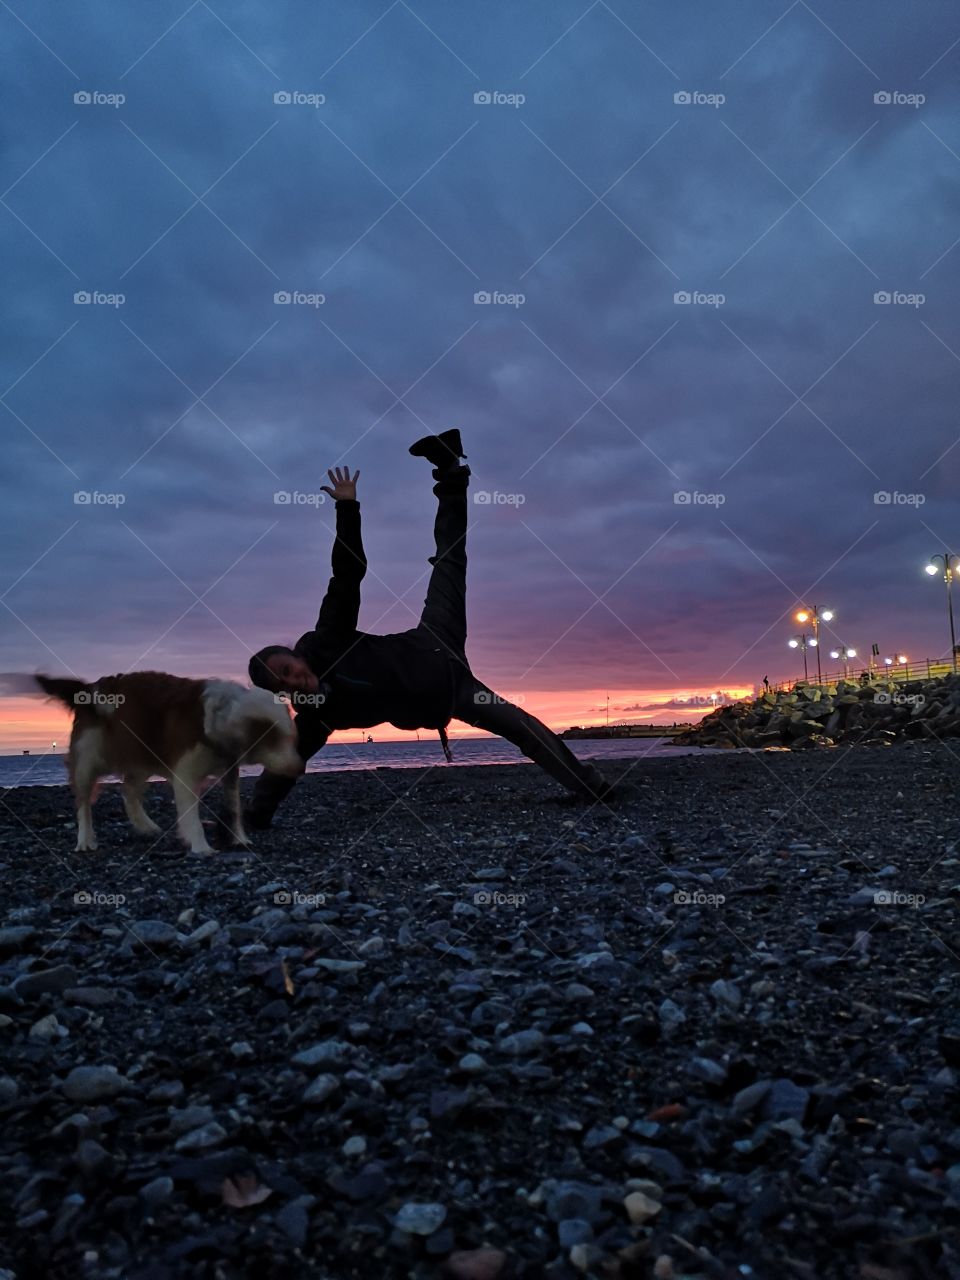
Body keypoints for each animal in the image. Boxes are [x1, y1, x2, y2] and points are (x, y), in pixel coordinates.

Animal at [36, 675, 300, 855]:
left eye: (289, 737)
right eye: (271, 739)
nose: (297, 767)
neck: (217, 716)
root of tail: (89, 689)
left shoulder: (230, 772)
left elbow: (234, 808)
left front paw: (240, 839)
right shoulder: (186, 774)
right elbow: (192, 817)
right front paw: (201, 846)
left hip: (140, 758)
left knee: (129, 792)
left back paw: (146, 826)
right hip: (89, 760)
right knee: (84, 803)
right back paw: (85, 840)